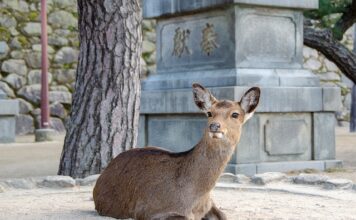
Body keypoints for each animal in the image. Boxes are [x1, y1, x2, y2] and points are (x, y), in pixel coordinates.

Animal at [93, 83, 260, 219]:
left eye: (235, 114)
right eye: (209, 113)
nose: (214, 126)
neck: (195, 199)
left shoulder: (210, 205)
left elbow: (224, 215)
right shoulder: (149, 210)